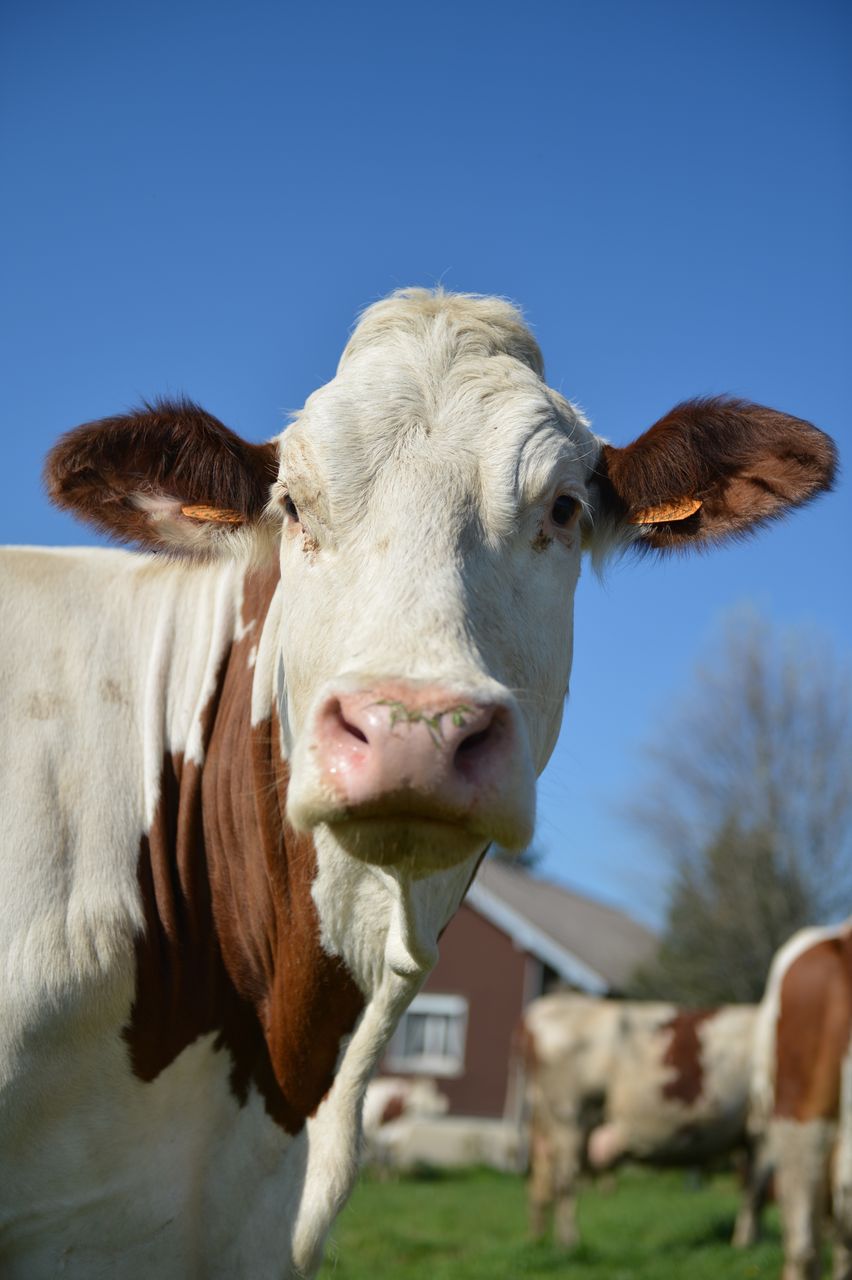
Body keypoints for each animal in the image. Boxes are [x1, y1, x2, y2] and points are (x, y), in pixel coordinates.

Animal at [522, 993, 770, 1249]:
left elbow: (753, 1189)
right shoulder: (762, 1131)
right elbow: (756, 1191)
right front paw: (746, 1242)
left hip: (546, 1129)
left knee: (541, 1185)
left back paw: (539, 1238)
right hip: (569, 1121)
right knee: (564, 1184)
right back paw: (568, 1244)